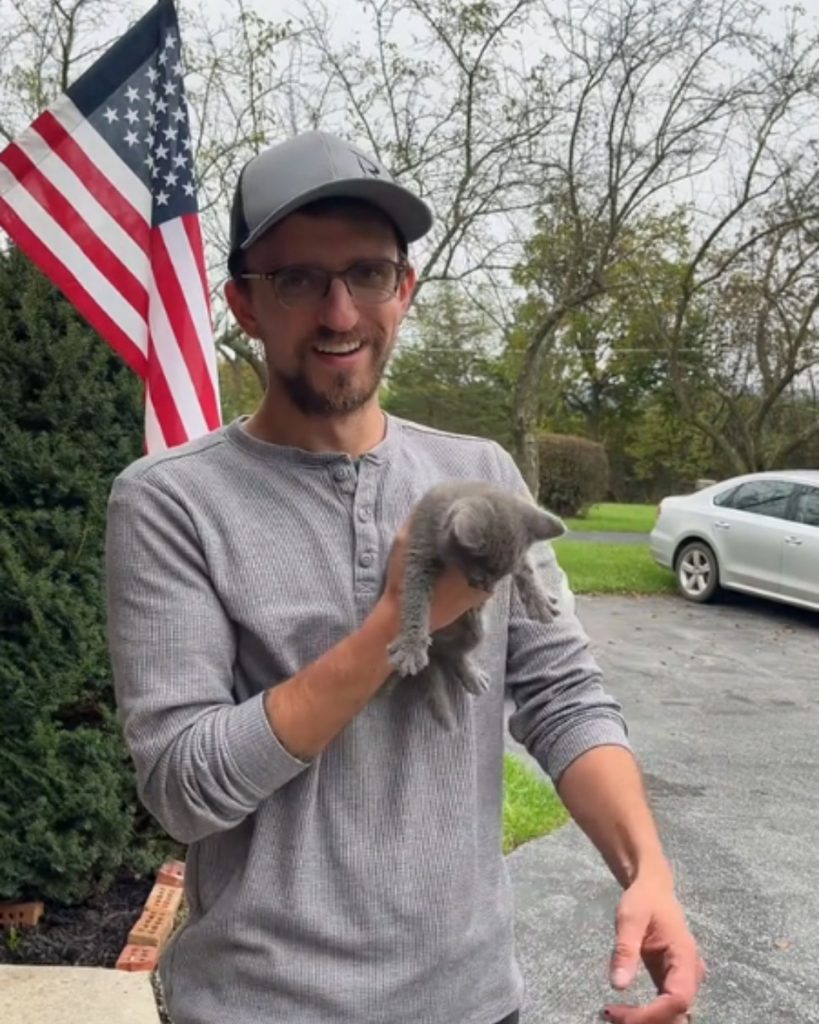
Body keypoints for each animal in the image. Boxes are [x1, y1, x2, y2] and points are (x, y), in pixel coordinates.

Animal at [386, 479, 565, 729]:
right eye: (479, 577)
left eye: (503, 577)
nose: (487, 592)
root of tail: (436, 651)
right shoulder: (419, 549)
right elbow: (415, 598)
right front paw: (411, 648)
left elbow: (527, 569)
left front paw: (540, 601)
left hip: (475, 633)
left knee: (456, 653)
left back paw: (471, 672)